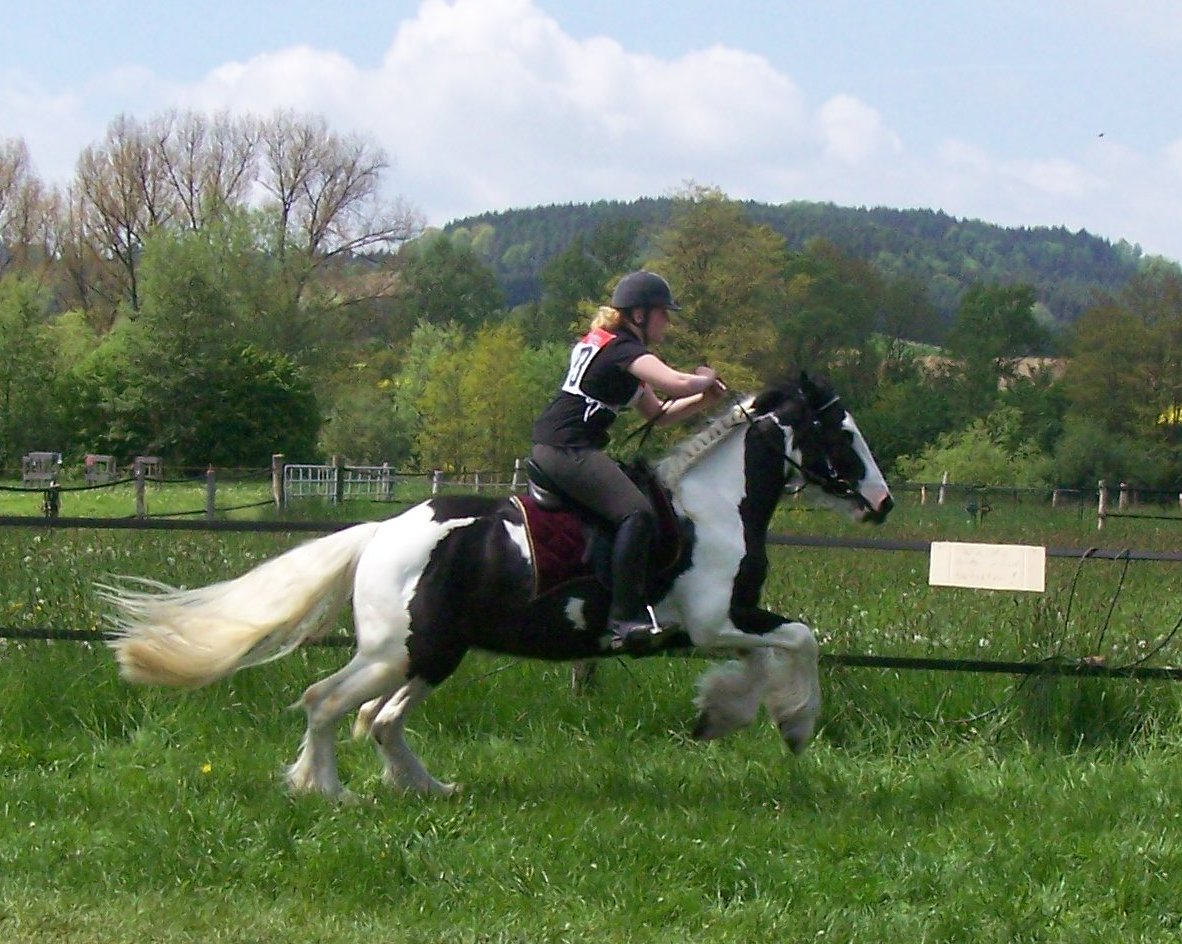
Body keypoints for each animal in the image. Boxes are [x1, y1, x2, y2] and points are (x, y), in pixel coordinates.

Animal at [106, 373, 888, 803]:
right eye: (843, 431)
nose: (881, 504)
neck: (713, 508)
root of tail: (378, 535)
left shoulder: (727, 623)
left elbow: (774, 650)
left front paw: (722, 714)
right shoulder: (712, 621)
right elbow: (803, 639)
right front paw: (795, 723)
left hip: (435, 653)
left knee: (380, 720)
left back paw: (430, 790)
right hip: (399, 651)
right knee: (328, 702)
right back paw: (330, 793)